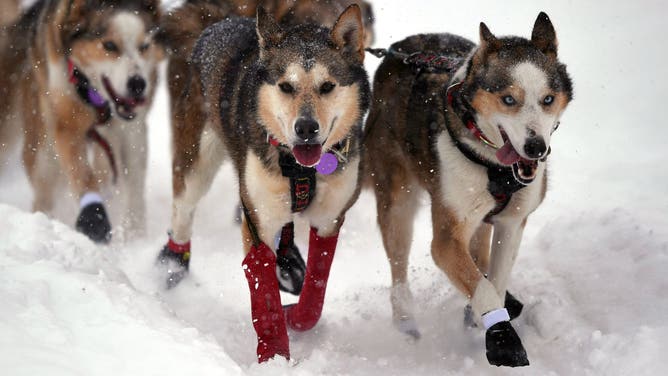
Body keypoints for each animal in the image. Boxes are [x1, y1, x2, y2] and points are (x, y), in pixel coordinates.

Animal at [0, 0, 163, 244]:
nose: (138, 84)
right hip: (41, 149)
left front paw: (136, 235)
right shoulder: (66, 122)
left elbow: (134, 183)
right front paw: (94, 219)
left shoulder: (131, 130)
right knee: (44, 192)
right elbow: (83, 175)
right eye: (110, 45)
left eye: (144, 46)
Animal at [366, 12, 576, 368]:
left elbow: (496, 278)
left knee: (480, 253)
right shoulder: (447, 236)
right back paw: (405, 320)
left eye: (547, 99)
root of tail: (397, 51)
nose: (535, 147)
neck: (492, 164)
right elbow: (482, 288)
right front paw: (501, 336)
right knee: (398, 266)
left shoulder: (512, 222)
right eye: (509, 99)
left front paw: (487, 314)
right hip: (398, 200)